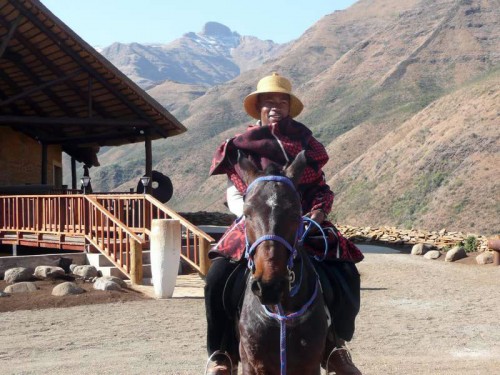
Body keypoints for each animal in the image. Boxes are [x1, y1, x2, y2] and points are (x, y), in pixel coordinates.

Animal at [237, 152, 330, 375]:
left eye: (296, 213)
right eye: (247, 214)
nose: (269, 285)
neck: (283, 314)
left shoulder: (310, 366)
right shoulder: (254, 365)